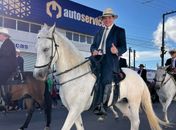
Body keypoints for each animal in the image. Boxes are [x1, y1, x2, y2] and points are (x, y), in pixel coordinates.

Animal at [33, 24, 166, 130]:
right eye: (36, 48)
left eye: (46, 49)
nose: (37, 75)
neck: (75, 75)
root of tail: (138, 76)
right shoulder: (74, 111)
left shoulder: (75, 109)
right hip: (121, 103)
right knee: (132, 120)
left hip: (134, 102)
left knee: (136, 121)